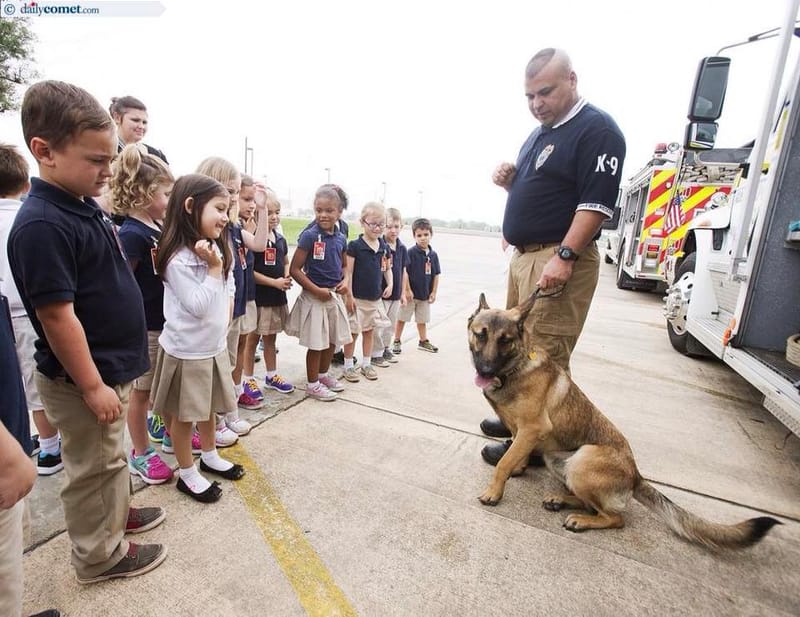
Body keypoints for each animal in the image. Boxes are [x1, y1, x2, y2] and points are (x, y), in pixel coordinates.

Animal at [468, 292, 780, 552]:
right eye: (481, 335)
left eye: (505, 340)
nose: (485, 370)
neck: (515, 368)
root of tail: (636, 474)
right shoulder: (522, 431)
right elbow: (514, 454)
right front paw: (518, 468)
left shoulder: (533, 428)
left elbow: (505, 462)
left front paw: (495, 491)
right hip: (559, 460)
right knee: (590, 503)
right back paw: (562, 500)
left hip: (583, 460)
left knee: (616, 518)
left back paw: (580, 520)